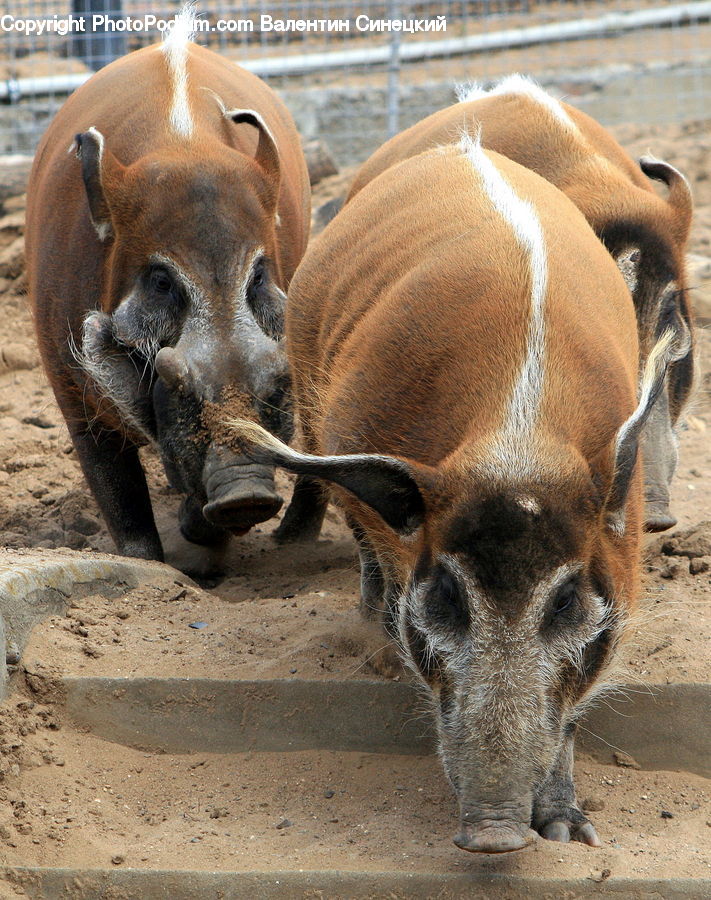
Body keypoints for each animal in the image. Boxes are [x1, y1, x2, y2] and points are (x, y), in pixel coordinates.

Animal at [24, 9, 310, 560]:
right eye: (160, 280)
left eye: (259, 273)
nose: (246, 493)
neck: (186, 148)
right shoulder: (68, 387)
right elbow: (120, 499)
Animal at [229, 137, 687, 851]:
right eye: (447, 594)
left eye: (566, 600)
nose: (493, 834)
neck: (518, 448)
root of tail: (461, 146)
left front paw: (569, 835)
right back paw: (373, 622)